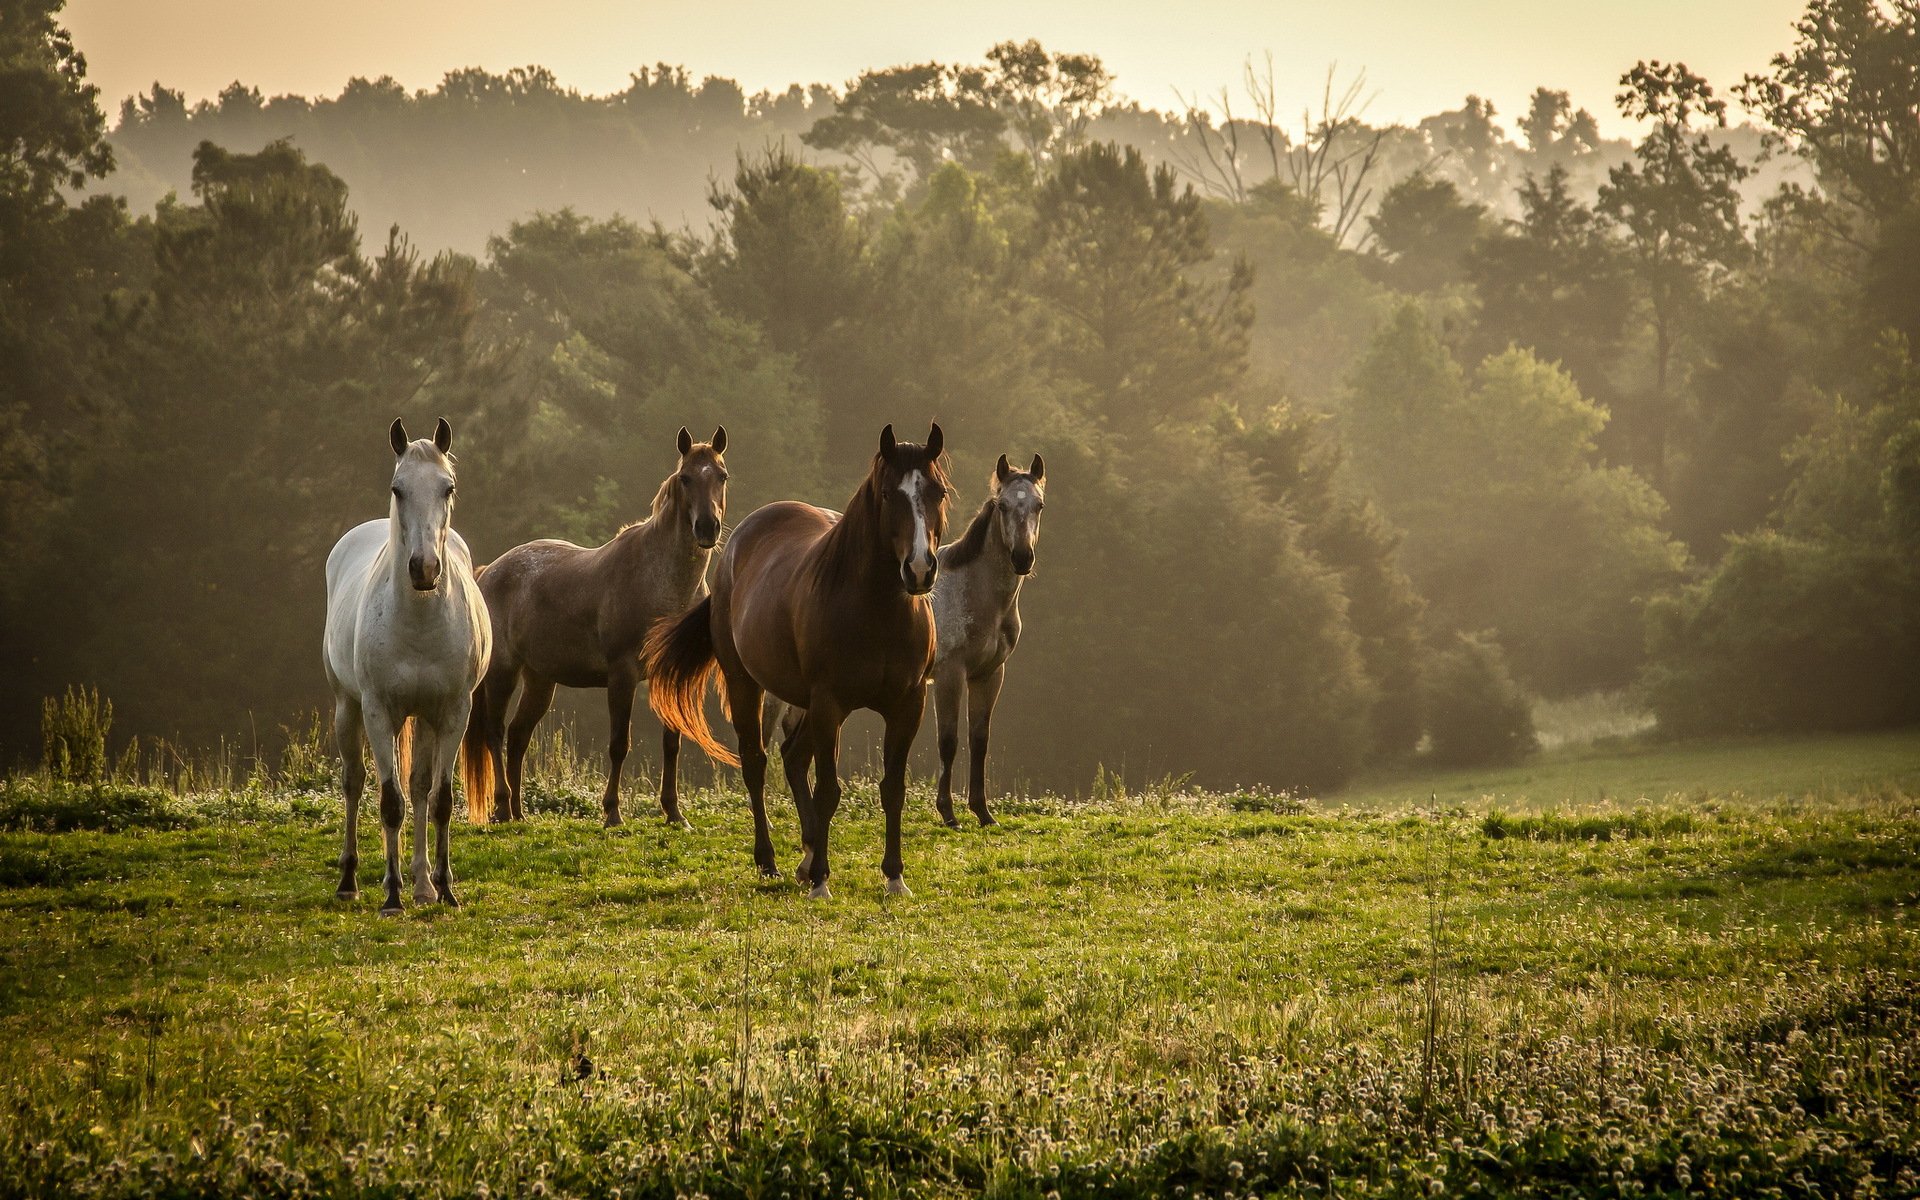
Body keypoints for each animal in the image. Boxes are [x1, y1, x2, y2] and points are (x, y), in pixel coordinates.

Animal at [323, 417, 492, 915]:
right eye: (397, 488)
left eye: (447, 487)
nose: (424, 568)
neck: (417, 621)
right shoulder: (379, 712)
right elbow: (389, 803)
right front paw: (392, 896)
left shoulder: (453, 713)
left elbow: (438, 800)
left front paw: (445, 889)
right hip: (348, 708)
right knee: (354, 783)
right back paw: (351, 880)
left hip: (425, 719)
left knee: (418, 787)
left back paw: (422, 884)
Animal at [459, 427, 727, 828]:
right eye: (685, 478)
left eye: (722, 476)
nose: (707, 527)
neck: (661, 582)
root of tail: (488, 572)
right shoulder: (622, 674)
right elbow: (618, 744)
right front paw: (612, 812)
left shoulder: (667, 674)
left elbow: (672, 743)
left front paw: (674, 813)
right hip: (502, 673)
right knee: (495, 733)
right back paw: (503, 806)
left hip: (540, 680)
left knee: (519, 736)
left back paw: (520, 813)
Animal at [645, 423, 950, 898]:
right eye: (887, 494)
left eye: (937, 491)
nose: (919, 570)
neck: (878, 612)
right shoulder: (830, 704)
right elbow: (828, 791)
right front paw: (822, 880)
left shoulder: (907, 706)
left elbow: (892, 789)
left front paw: (894, 877)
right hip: (748, 684)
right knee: (757, 762)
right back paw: (770, 860)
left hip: (804, 702)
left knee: (791, 757)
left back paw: (805, 857)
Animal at [770, 452, 1047, 828]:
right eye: (1003, 505)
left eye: (1039, 505)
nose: (1022, 557)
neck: (974, 592)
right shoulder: (949, 676)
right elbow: (949, 741)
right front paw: (948, 812)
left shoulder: (989, 674)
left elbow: (979, 739)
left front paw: (983, 811)